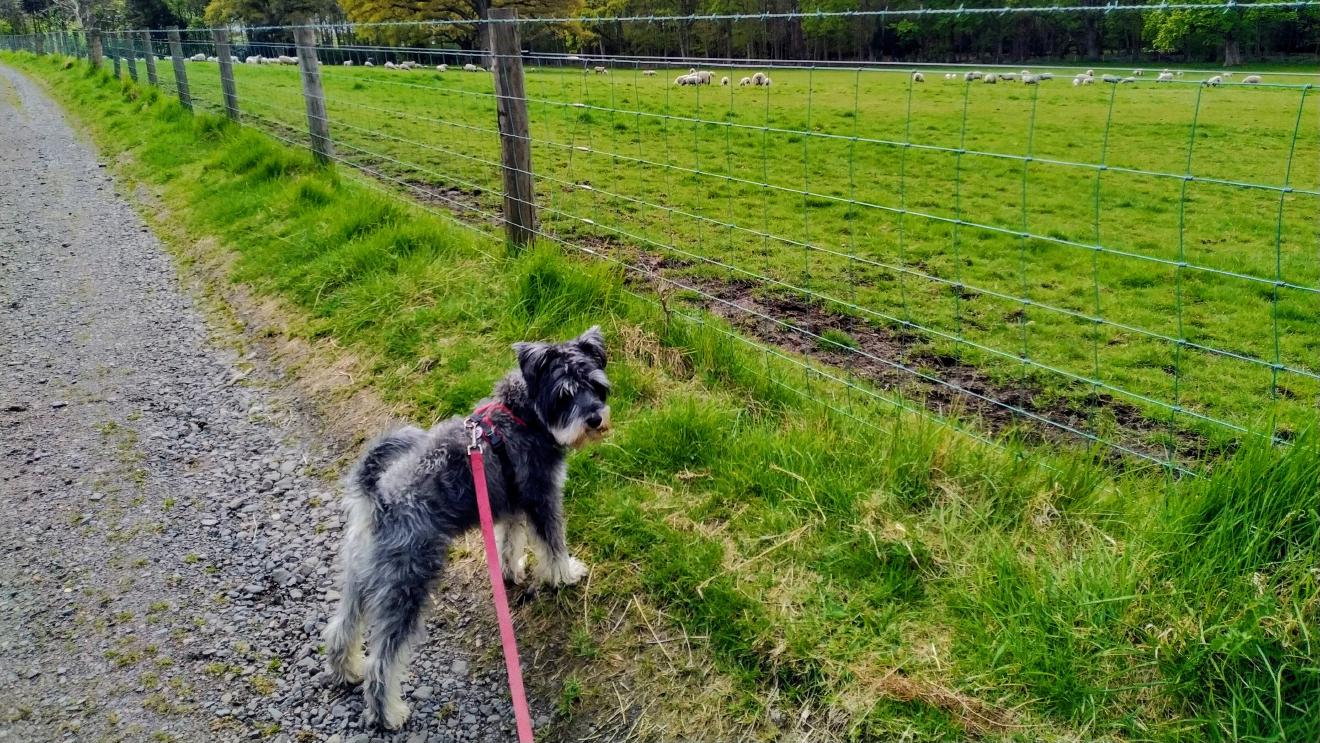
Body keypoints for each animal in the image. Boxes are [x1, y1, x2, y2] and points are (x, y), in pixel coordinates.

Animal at [322, 328, 609, 728]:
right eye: (564, 394)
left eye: (596, 386)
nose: (595, 419)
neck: (522, 415)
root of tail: (378, 498)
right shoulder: (542, 497)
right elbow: (553, 544)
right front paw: (566, 575)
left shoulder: (508, 507)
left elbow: (509, 543)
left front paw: (511, 572)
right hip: (406, 584)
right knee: (384, 660)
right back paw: (388, 713)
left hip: (361, 575)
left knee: (342, 627)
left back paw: (347, 670)